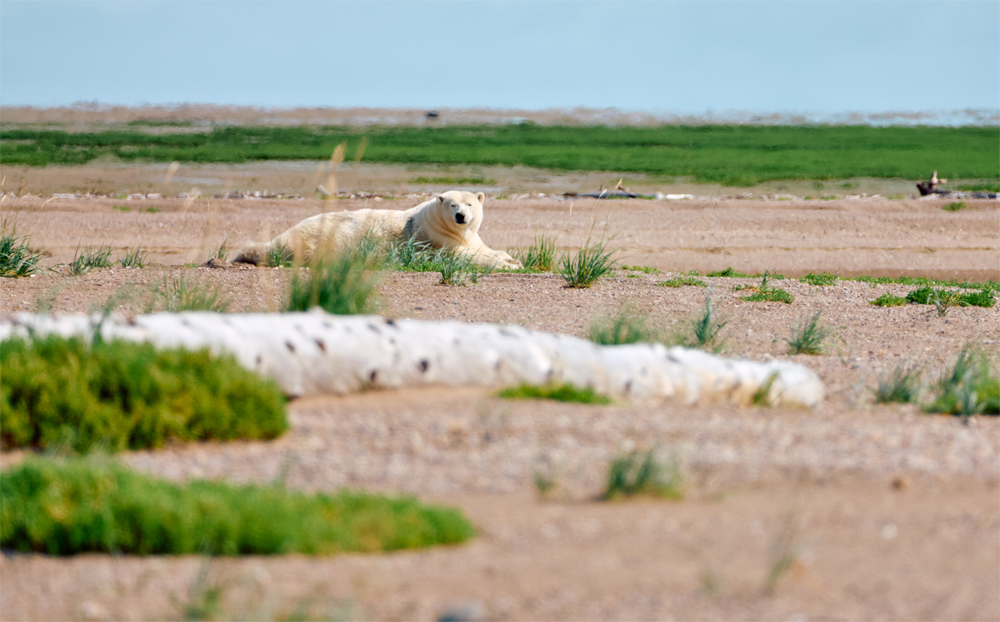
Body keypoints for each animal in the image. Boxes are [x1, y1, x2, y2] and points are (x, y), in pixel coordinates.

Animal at [232, 190, 522, 269]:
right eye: (453, 204)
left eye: (470, 203)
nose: (461, 216)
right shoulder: (435, 239)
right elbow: (463, 256)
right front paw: (510, 265)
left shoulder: (469, 236)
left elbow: (484, 248)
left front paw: (511, 258)